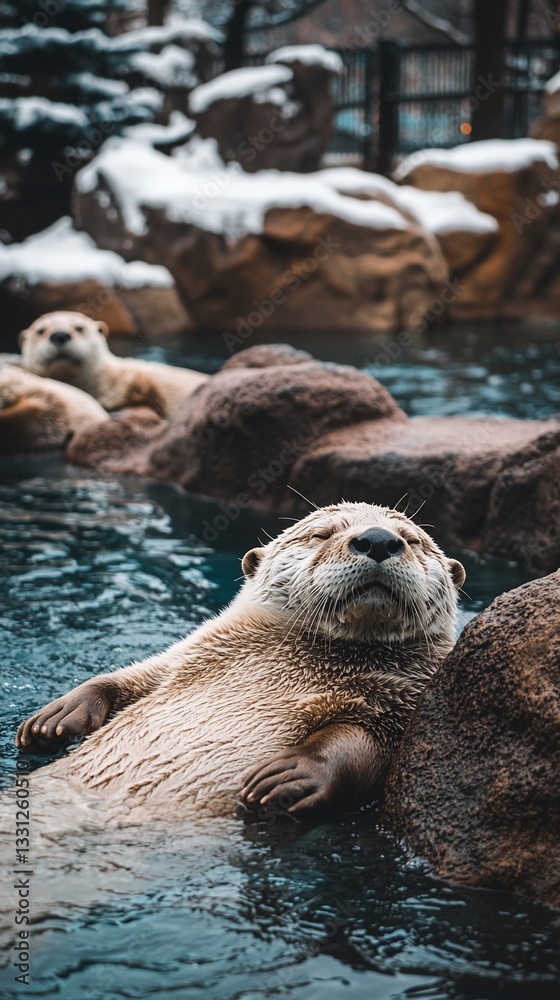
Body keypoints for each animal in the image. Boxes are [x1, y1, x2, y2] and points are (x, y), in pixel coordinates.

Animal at [16, 503, 465, 823]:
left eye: (412, 539)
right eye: (322, 533)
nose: (378, 539)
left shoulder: (404, 702)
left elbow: (364, 748)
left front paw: (291, 774)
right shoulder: (187, 656)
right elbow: (130, 678)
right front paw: (56, 718)